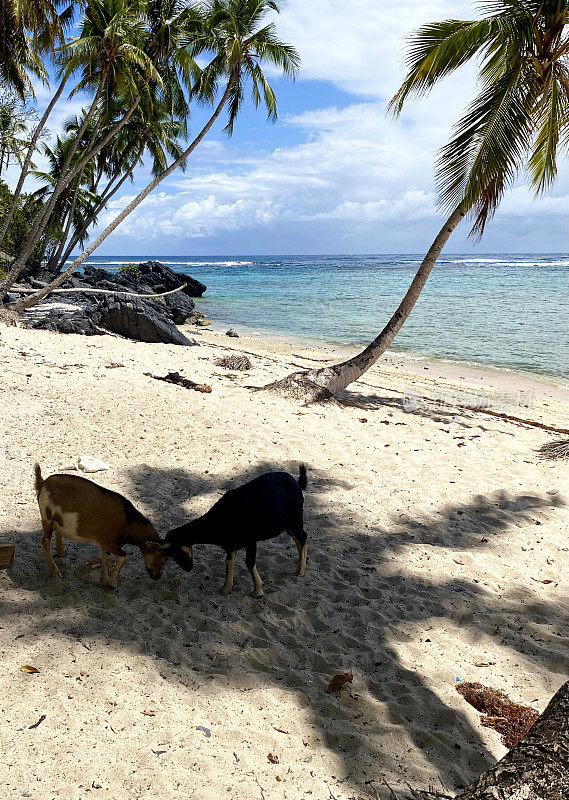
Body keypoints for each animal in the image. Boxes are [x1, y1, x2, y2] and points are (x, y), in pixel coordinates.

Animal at [33, 462, 168, 588]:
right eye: (160, 555)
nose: (157, 576)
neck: (127, 520)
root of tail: (43, 483)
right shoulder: (109, 541)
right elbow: (124, 557)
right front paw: (112, 582)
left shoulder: (106, 543)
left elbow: (106, 558)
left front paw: (105, 580)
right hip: (47, 518)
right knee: (45, 542)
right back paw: (55, 571)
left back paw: (61, 553)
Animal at [155, 466, 306, 596]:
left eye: (178, 551)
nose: (188, 568)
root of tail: (295, 483)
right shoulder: (231, 545)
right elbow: (229, 562)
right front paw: (225, 589)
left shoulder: (251, 541)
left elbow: (249, 563)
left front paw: (257, 591)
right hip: (287, 525)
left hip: (295, 520)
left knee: (302, 538)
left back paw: (300, 570)